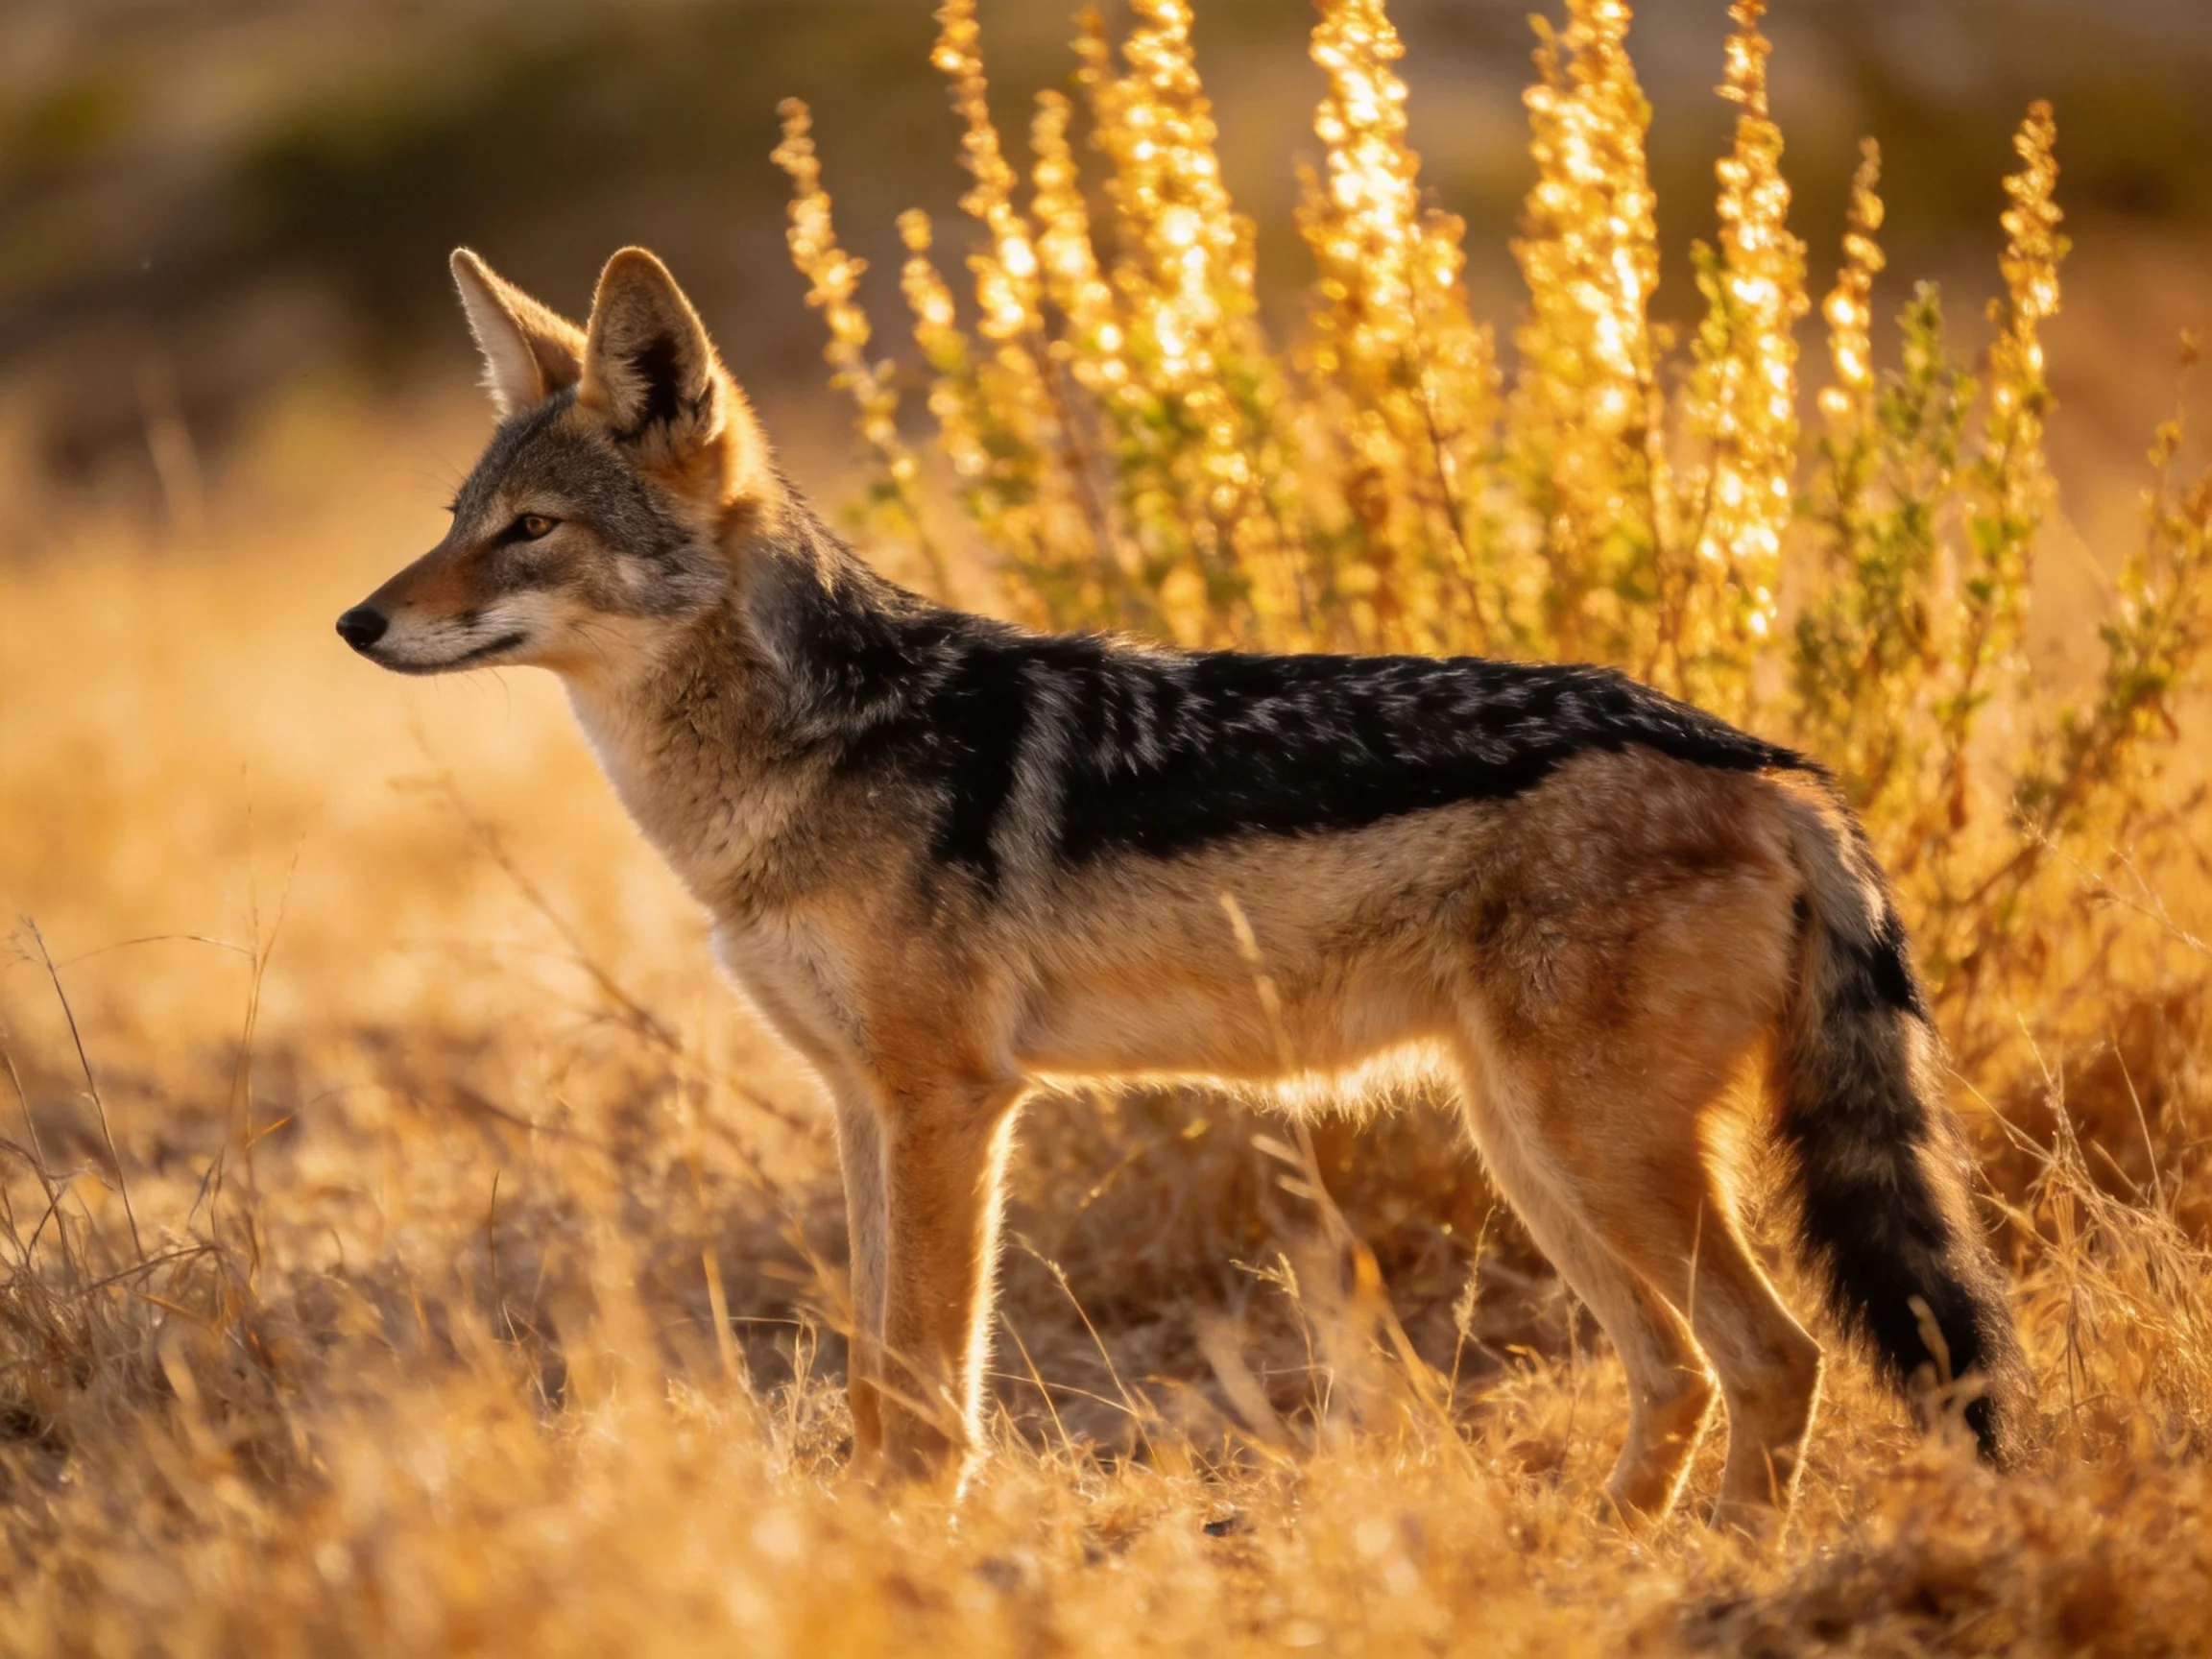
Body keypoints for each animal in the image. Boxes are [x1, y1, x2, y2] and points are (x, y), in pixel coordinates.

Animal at [337, 245, 2030, 1524]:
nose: (358, 622)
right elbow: (879, 1373)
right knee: (1683, 1368)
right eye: (454, 520)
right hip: (1535, 1152)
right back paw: (1605, 1553)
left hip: (1595, 1151)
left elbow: (925, 1387)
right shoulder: (863, 1108)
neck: (812, 742)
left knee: (1778, 1358)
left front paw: (907, 1550)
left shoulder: (952, 1105)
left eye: (532, 531)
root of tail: (1770, 764)